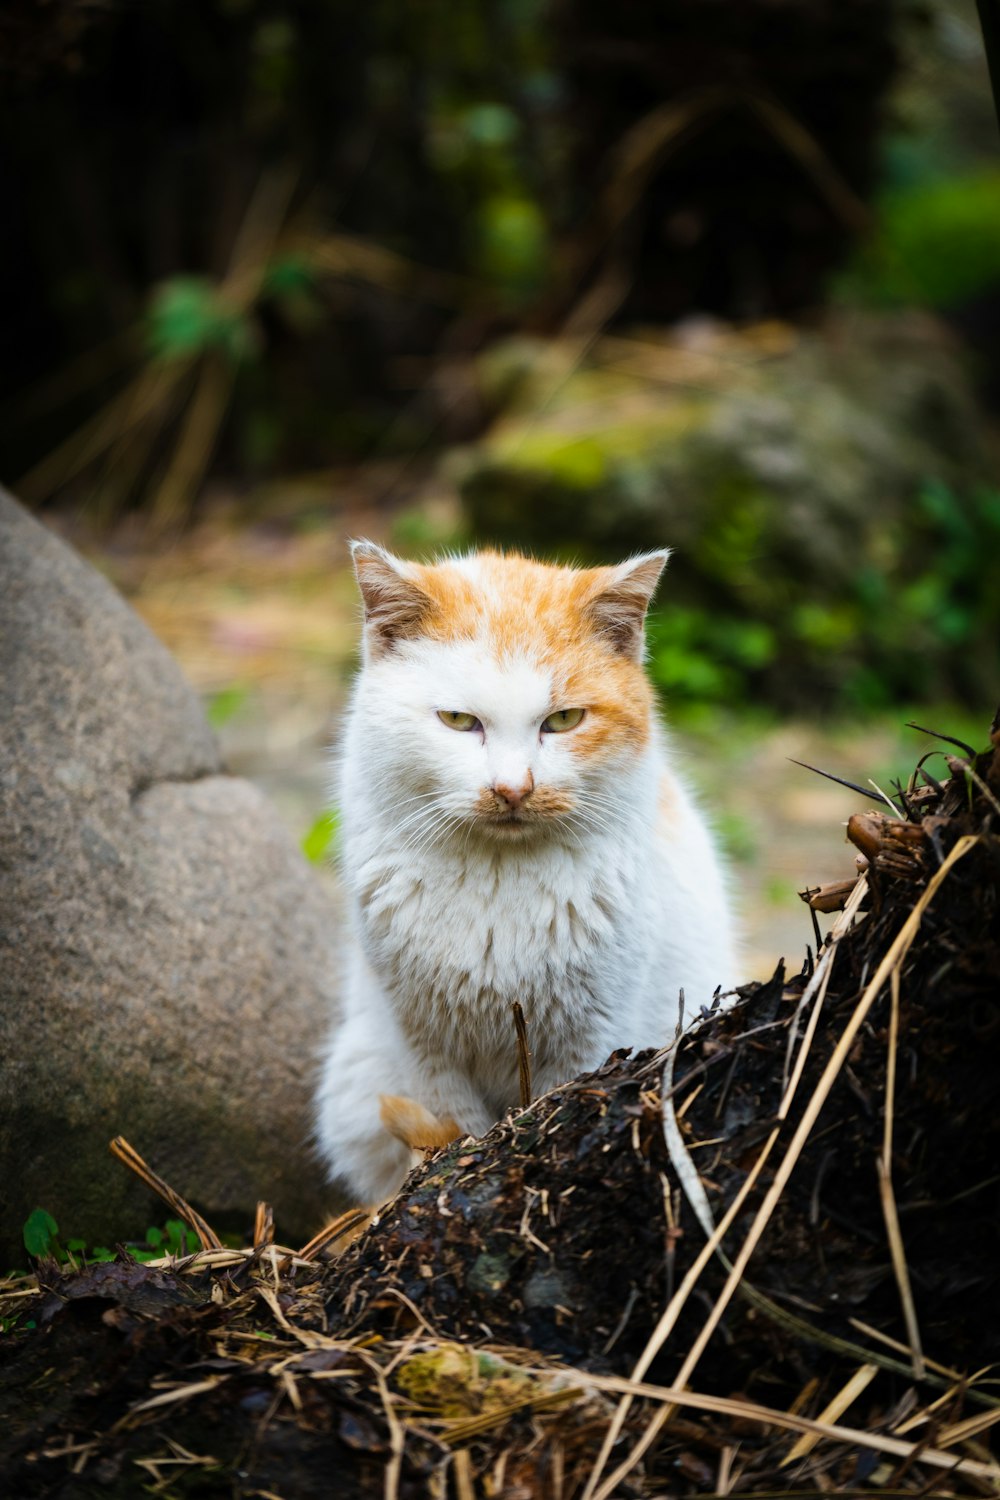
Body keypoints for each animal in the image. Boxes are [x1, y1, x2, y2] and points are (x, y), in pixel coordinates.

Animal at [316, 546, 740, 1200]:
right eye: (458, 720)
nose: (512, 789)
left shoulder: (590, 1039)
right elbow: (455, 1129)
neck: (498, 882)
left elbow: (553, 1106)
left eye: (563, 720)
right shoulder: (424, 1048)